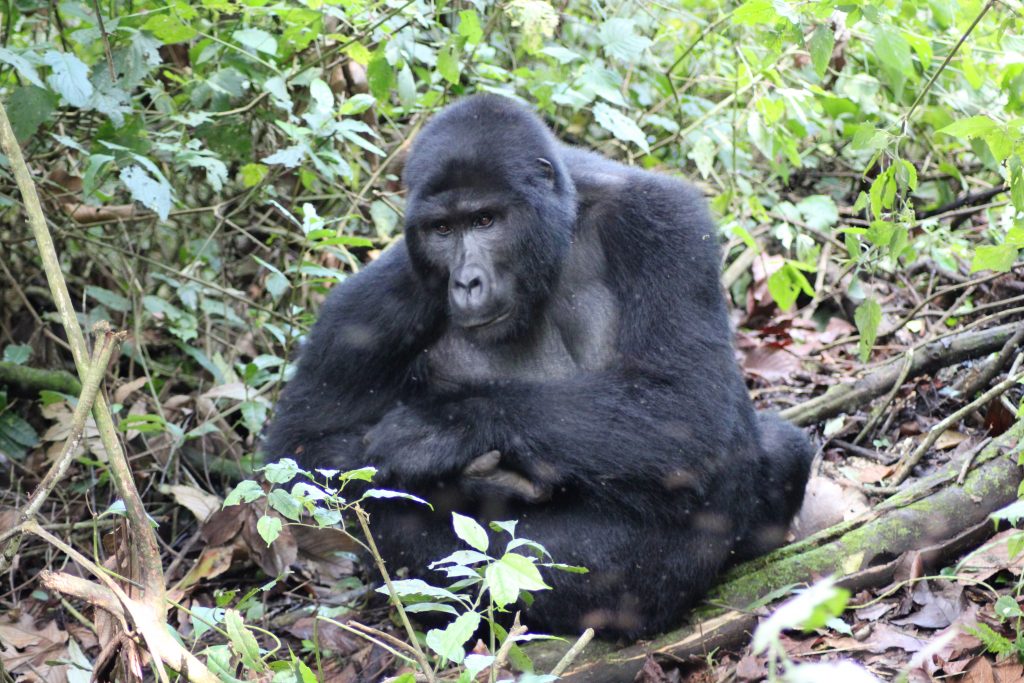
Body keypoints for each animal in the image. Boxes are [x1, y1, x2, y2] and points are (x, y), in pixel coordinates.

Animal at [266, 94, 815, 643]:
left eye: (485, 221)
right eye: (442, 229)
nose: (466, 282)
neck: (560, 231)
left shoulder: (663, 219)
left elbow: (689, 404)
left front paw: (444, 428)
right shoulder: (375, 300)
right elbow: (305, 454)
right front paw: (469, 473)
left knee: (771, 444)